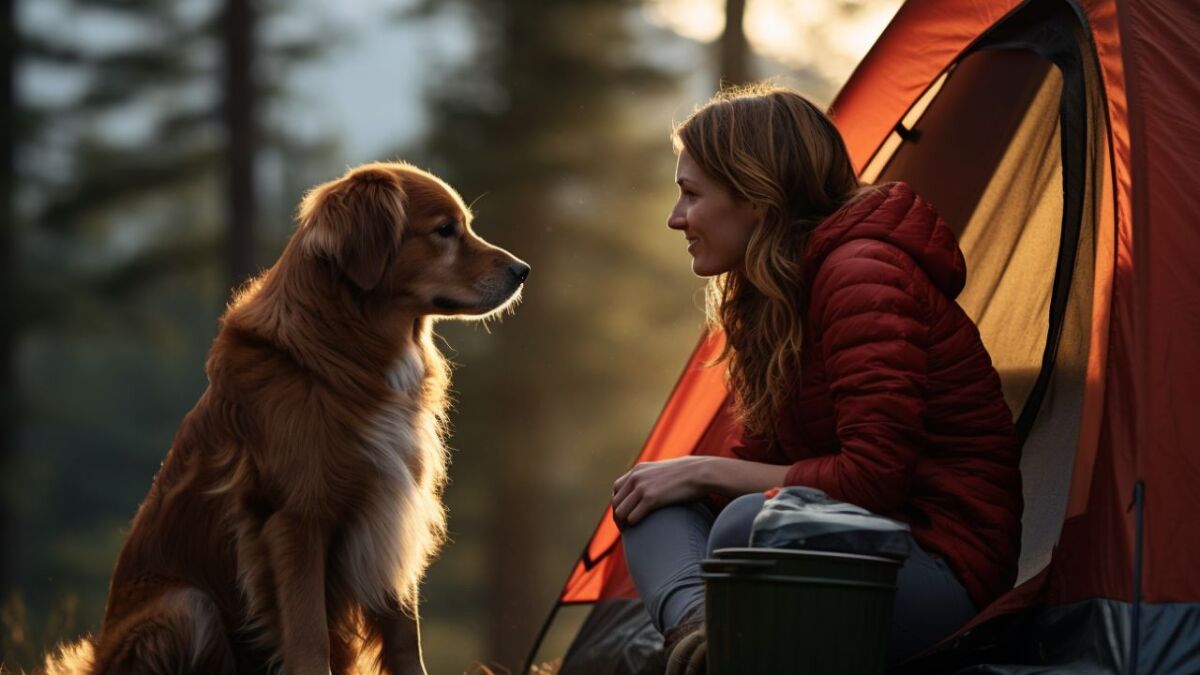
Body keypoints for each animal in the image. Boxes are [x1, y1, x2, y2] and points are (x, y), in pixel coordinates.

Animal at [43, 162, 530, 672]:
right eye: (444, 230)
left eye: (465, 225)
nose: (523, 271)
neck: (346, 356)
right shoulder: (296, 519)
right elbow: (310, 634)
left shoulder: (390, 508)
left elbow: (403, 637)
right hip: (185, 604)